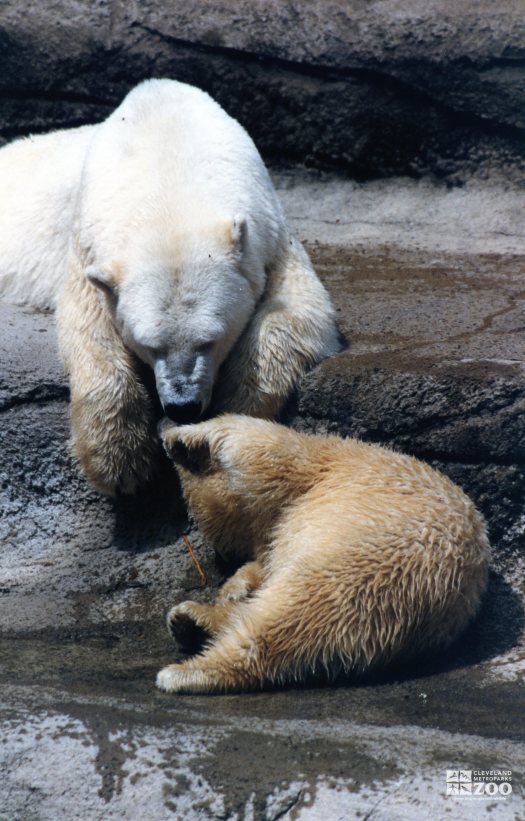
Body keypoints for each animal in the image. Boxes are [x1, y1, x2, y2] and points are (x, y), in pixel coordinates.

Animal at [0, 80, 340, 496]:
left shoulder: (270, 233)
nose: (183, 405)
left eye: (212, 339)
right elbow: (88, 329)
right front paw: (118, 460)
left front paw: (236, 410)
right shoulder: (85, 250)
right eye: (149, 345)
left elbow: (298, 310)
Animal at [155, 416, 488, 692]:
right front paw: (234, 589)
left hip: (371, 565)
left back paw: (183, 669)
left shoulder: (312, 466)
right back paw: (190, 622)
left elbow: (259, 441)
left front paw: (182, 437)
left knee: (297, 612)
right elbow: (263, 564)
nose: (222, 556)